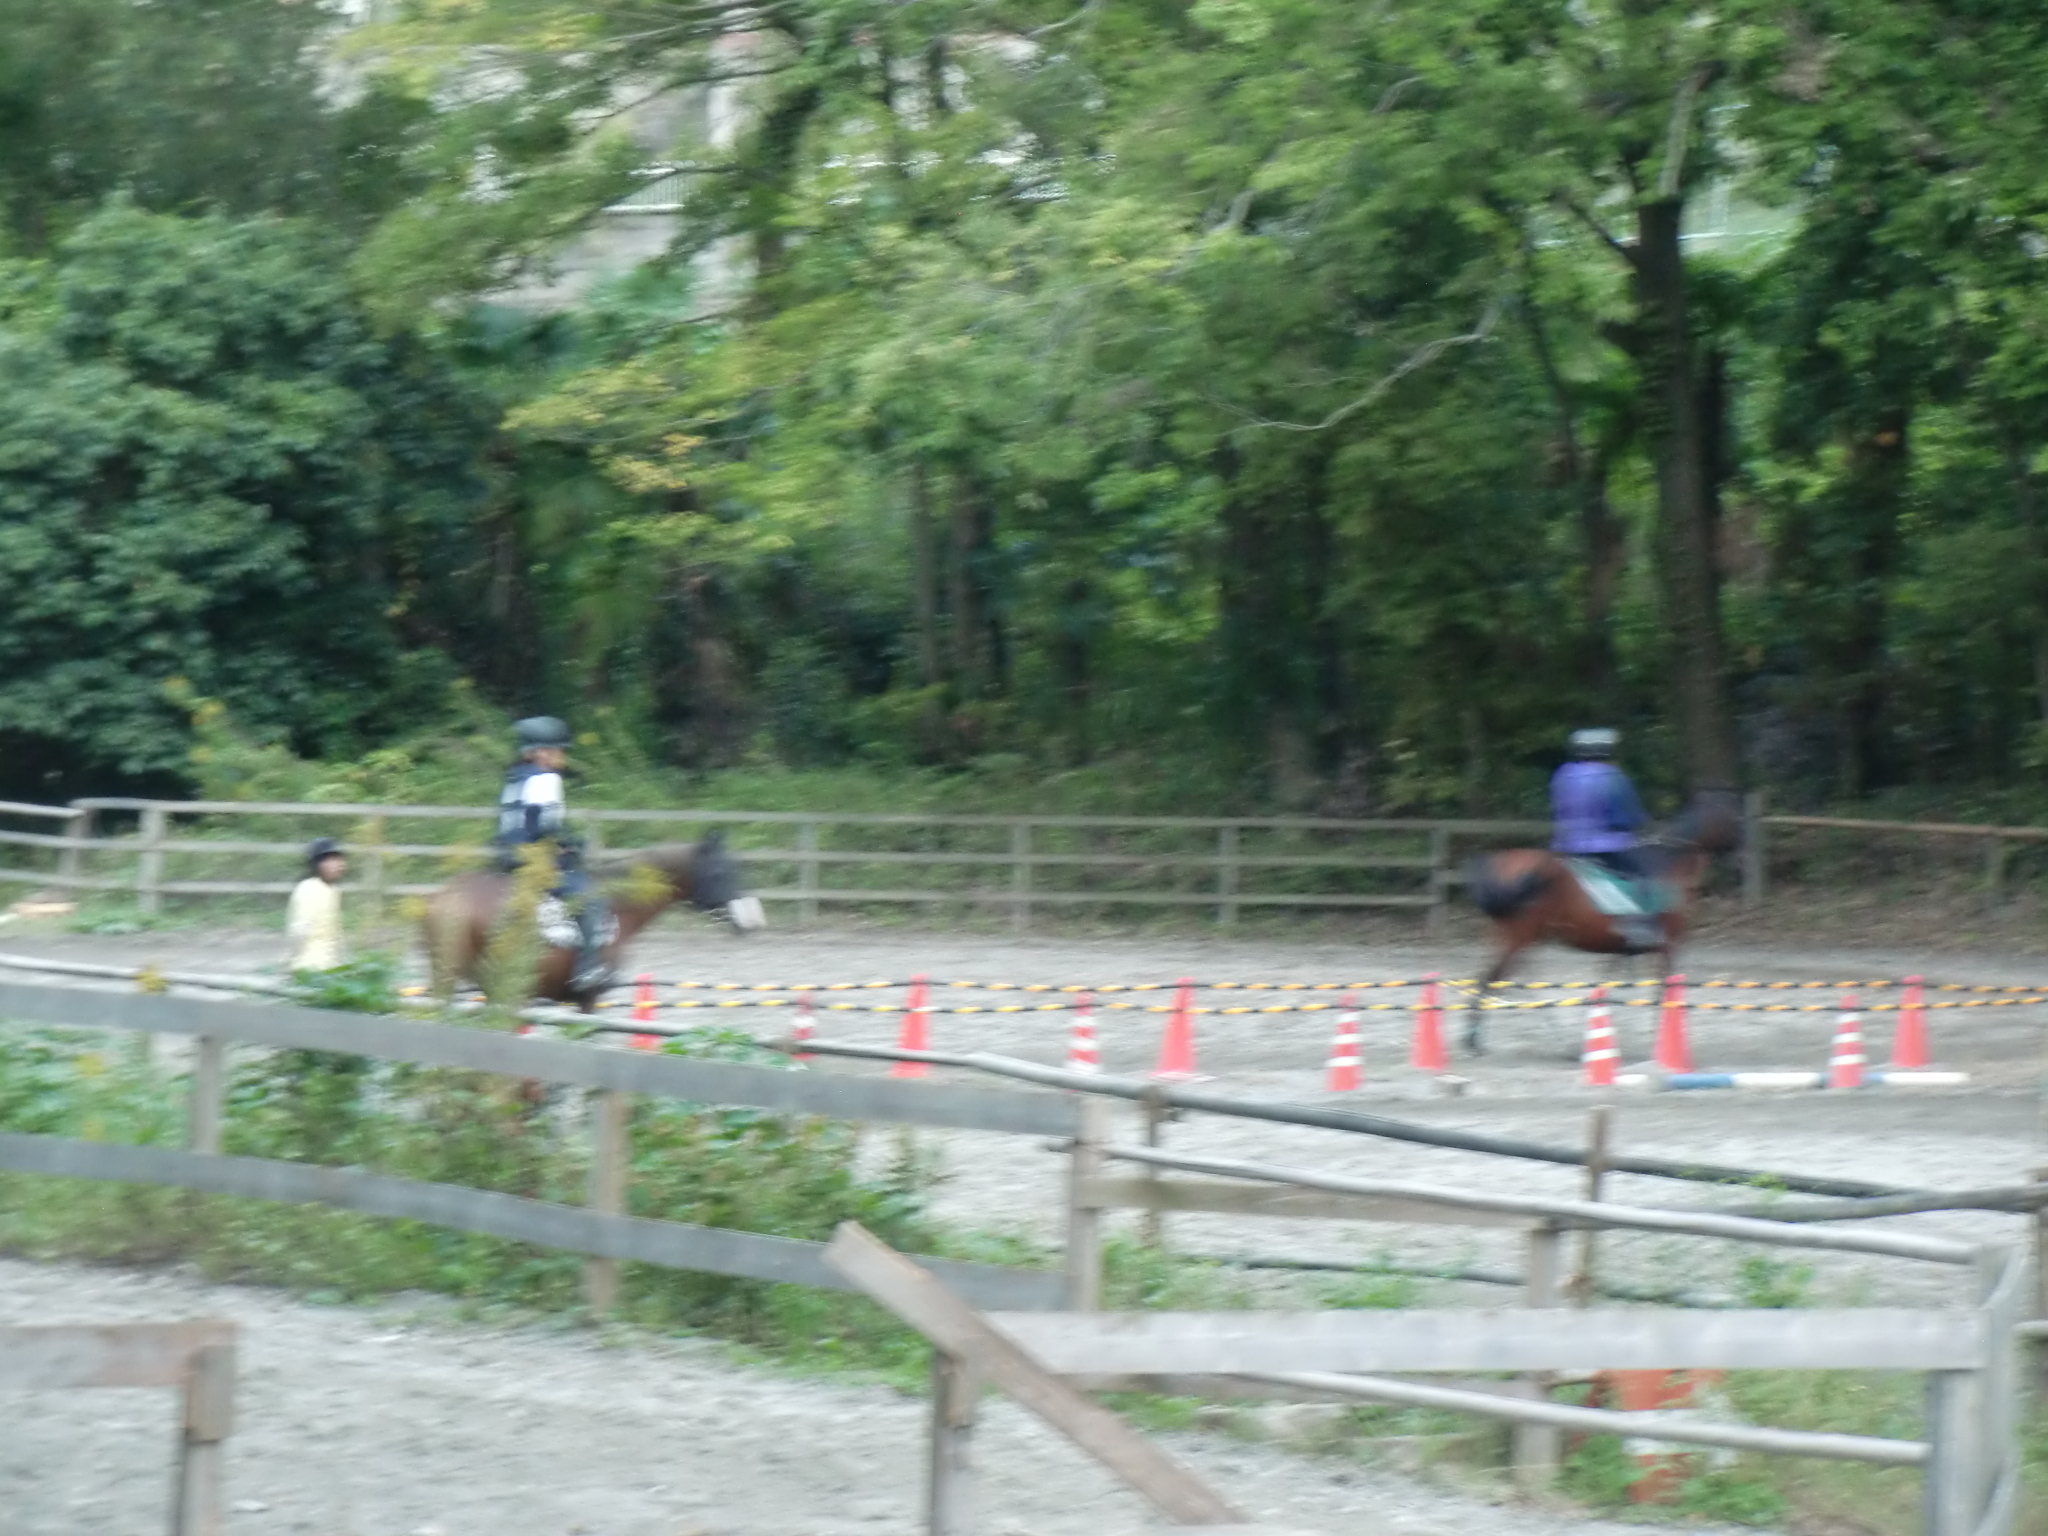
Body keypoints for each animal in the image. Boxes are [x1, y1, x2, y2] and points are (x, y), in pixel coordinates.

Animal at [1461, 790, 1742, 1055]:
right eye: (1734, 820)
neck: (1667, 865)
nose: (1739, 861)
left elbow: (1607, 983)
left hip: (1517, 936)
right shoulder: (1668, 945)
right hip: (1520, 937)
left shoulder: (1622, 950)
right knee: (1491, 979)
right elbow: (1661, 988)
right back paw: (1475, 1040)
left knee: (1503, 979)